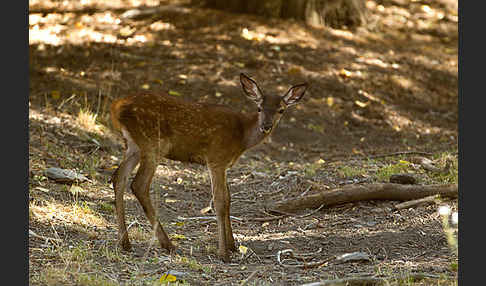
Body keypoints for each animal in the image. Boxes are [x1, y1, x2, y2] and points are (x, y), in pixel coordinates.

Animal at [110, 73, 308, 262]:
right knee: (139, 185)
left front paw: (232, 245)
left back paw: (125, 243)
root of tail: (116, 107)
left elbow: (228, 200)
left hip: (134, 145)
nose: (266, 126)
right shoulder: (216, 159)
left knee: (118, 176)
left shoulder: (224, 165)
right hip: (153, 144)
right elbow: (219, 202)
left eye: (281, 110)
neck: (242, 137)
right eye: (259, 108)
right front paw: (224, 254)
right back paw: (168, 244)